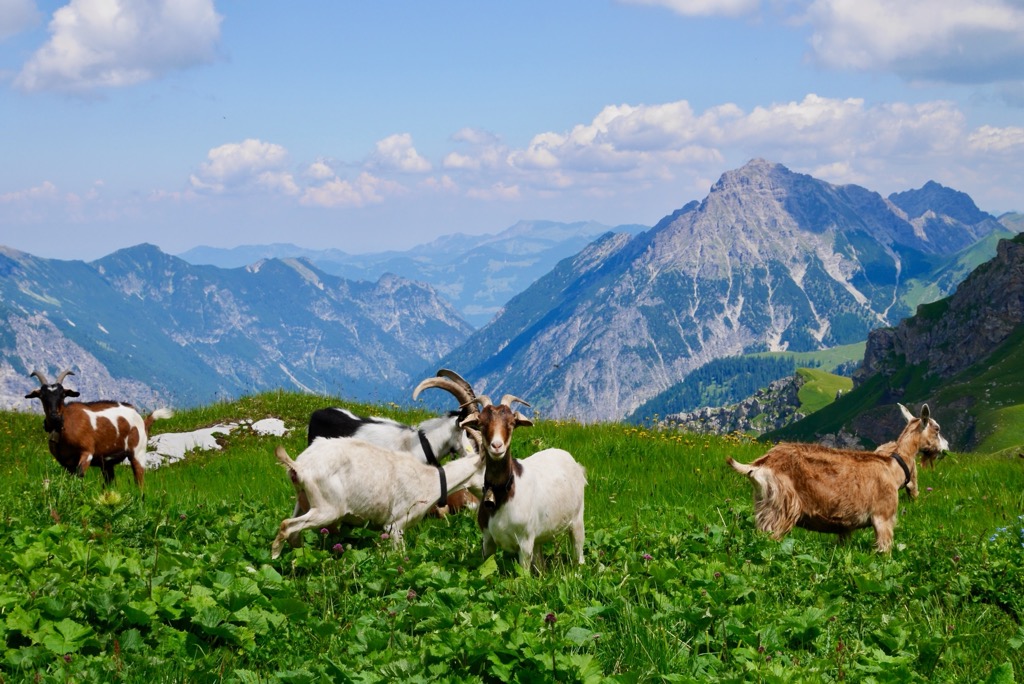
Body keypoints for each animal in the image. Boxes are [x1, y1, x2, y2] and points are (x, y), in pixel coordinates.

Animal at [24, 368, 173, 485]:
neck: (66, 425)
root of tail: (143, 421)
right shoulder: (65, 462)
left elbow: (79, 476)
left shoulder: (86, 452)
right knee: (110, 482)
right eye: (42, 396)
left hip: (138, 452)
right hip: (107, 462)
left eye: (63, 395)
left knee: (140, 481)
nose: (54, 416)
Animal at [724, 403, 946, 552]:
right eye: (937, 428)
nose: (945, 448)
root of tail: (760, 464)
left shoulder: (845, 527)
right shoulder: (883, 517)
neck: (893, 468)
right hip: (780, 507)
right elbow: (884, 550)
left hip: (764, 505)